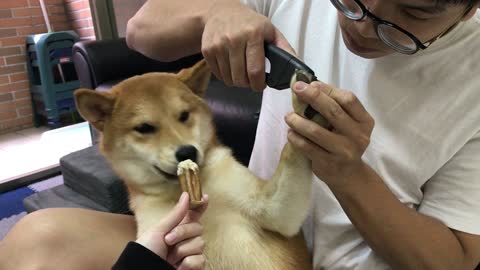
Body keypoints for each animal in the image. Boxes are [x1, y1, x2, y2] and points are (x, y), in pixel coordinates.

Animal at [74, 60, 316, 268]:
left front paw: (305, 103)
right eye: (144, 128)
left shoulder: (273, 210)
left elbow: (291, 151)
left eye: (184, 115)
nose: (187, 152)